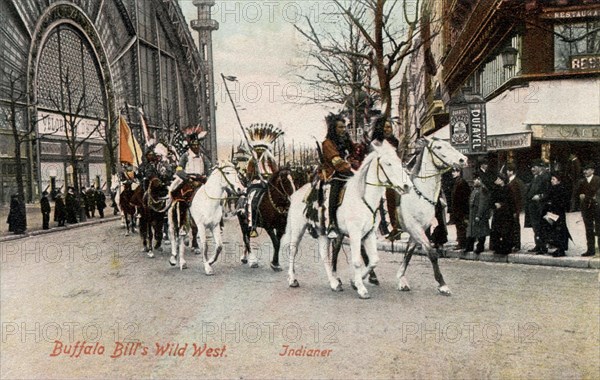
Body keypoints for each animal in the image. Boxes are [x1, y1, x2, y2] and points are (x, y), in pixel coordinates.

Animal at [282, 140, 412, 300]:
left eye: (400, 162)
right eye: (388, 163)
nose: (407, 186)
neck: (362, 197)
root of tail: (296, 193)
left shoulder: (369, 234)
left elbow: (374, 260)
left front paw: (356, 282)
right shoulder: (355, 233)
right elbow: (356, 261)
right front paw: (361, 288)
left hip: (323, 232)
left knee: (325, 255)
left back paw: (334, 283)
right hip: (298, 229)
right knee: (293, 250)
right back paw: (292, 279)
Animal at [398, 137, 468, 296]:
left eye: (450, 144)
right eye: (439, 147)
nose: (463, 159)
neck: (418, 195)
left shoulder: (419, 229)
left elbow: (408, 253)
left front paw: (401, 280)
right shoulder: (415, 228)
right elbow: (432, 253)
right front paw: (442, 285)